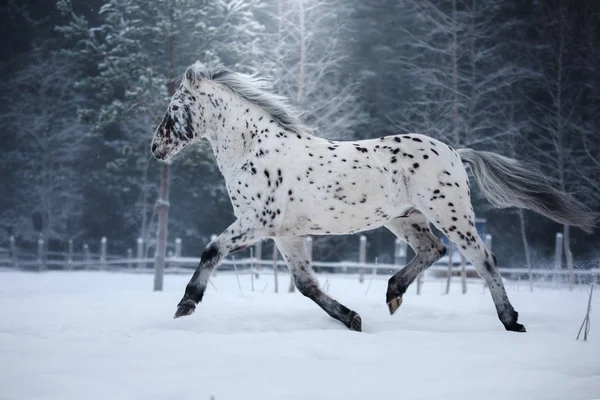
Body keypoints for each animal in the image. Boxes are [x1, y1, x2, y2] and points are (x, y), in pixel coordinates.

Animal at [151, 61, 596, 332]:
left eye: (174, 107)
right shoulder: (285, 234)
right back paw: (393, 293)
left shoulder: (257, 223)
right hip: (405, 218)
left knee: (483, 259)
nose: (156, 148)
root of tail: (455, 151)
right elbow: (305, 284)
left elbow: (211, 250)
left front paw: (185, 304)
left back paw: (511, 320)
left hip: (451, 214)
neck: (254, 150)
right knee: (434, 250)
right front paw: (352, 318)